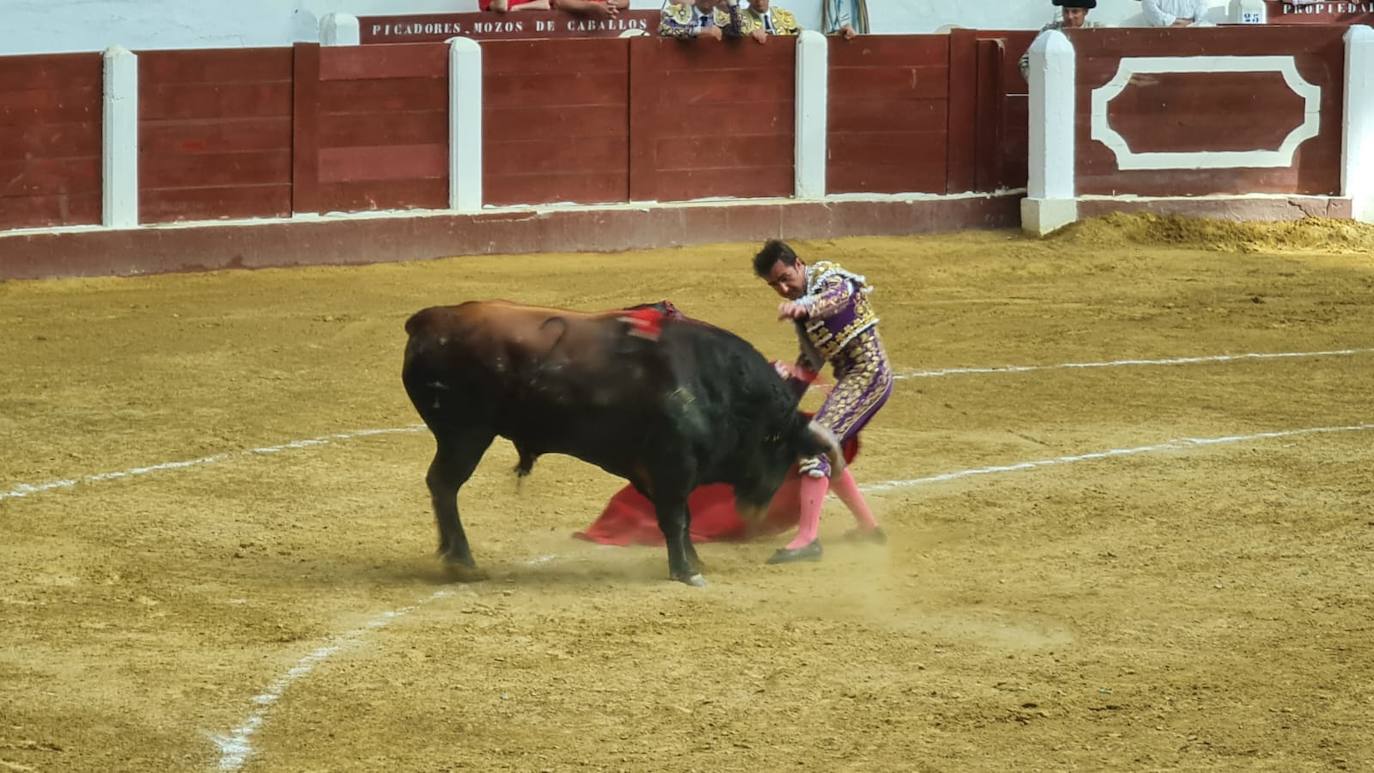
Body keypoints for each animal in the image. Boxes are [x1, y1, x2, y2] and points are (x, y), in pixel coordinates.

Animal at [401, 299, 840, 584]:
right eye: (777, 446)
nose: (756, 509)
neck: (716, 385)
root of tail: (429, 320)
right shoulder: (672, 466)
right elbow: (677, 518)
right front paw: (687, 572)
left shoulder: (652, 472)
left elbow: (681, 519)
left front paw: (693, 562)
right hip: (465, 434)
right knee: (444, 485)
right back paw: (462, 562)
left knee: (440, 486)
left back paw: (453, 558)